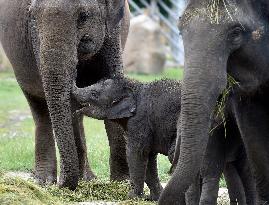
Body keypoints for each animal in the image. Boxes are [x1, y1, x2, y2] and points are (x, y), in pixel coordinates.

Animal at [0, 0, 130, 191]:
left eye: (84, 16)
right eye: (32, 17)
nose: (61, 184)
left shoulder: (114, 32)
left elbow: (113, 82)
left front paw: (122, 184)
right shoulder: (36, 41)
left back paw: (87, 179)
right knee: (40, 109)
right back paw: (45, 181)